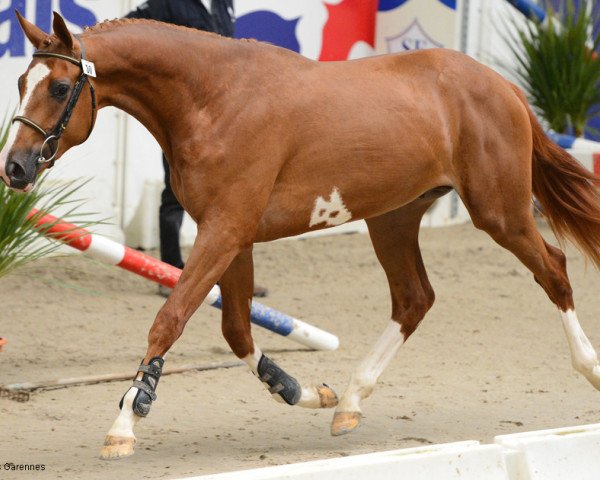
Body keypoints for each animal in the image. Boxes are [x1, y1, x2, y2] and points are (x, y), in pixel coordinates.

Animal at [3, 12, 600, 462]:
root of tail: (501, 85)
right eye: (21, 84)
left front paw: (126, 421)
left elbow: (170, 318)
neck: (212, 99)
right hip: (394, 218)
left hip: (499, 212)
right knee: (414, 299)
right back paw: (350, 402)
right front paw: (305, 392)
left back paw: (590, 370)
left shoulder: (224, 231)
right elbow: (237, 330)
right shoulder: (233, 237)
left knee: (553, 268)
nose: (14, 168)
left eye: (60, 87)